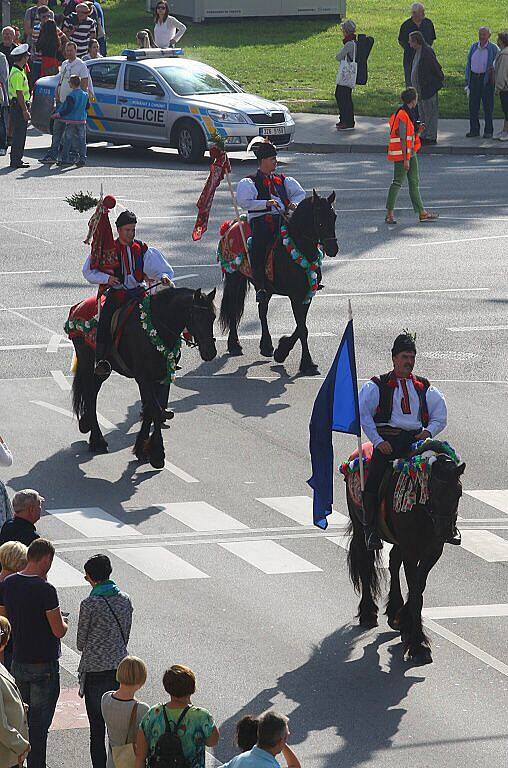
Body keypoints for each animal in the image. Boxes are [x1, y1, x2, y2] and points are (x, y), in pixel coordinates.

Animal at [70, 286, 216, 468]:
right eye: (197, 317)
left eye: (213, 317)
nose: (210, 352)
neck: (158, 326)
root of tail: (77, 307)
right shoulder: (143, 378)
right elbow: (155, 410)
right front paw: (157, 453)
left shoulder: (160, 377)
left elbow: (151, 410)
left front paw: (142, 449)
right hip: (87, 360)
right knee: (90, 394)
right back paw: (97, 440)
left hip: (103, 371)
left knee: (92, 393)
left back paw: (87, 425)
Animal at [218, 189, 338, 376]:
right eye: (319, 220)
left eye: (334, 216)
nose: (333, 249)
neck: (297, 247)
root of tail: (231, 224)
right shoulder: (295, 296)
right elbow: (302, 329)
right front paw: (307, 363)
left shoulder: (307, 295)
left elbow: (301, 327)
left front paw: (282, 351)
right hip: (234, 278)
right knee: (232, 309)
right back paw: (235, 344)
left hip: (265, 288)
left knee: (262, 311)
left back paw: (266, 346)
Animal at [346, 452, 464, 664]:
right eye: (434, 492)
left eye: (458, 493)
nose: (446, 532)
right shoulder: (411, 551)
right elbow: (416, 593)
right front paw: (419, 645)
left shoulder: (433, 551)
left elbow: (419, 587)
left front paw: (404, 622)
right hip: (360, 528)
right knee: (366, 564)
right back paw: (368, 613)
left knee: (393, 562)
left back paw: (394, 609)